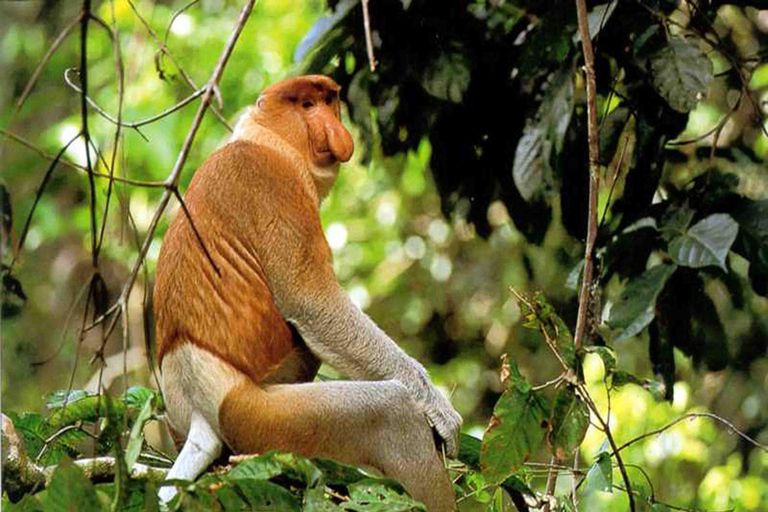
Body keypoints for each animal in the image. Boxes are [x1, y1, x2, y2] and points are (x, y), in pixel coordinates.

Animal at [153, 75, 461, 512]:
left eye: (329, 101)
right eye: (305, 105)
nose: (336, 131)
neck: (267, 141)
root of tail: (194, 407)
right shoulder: (271, 184)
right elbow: (310, 300)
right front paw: (437, 407)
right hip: (253, 417)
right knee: (392, 417)